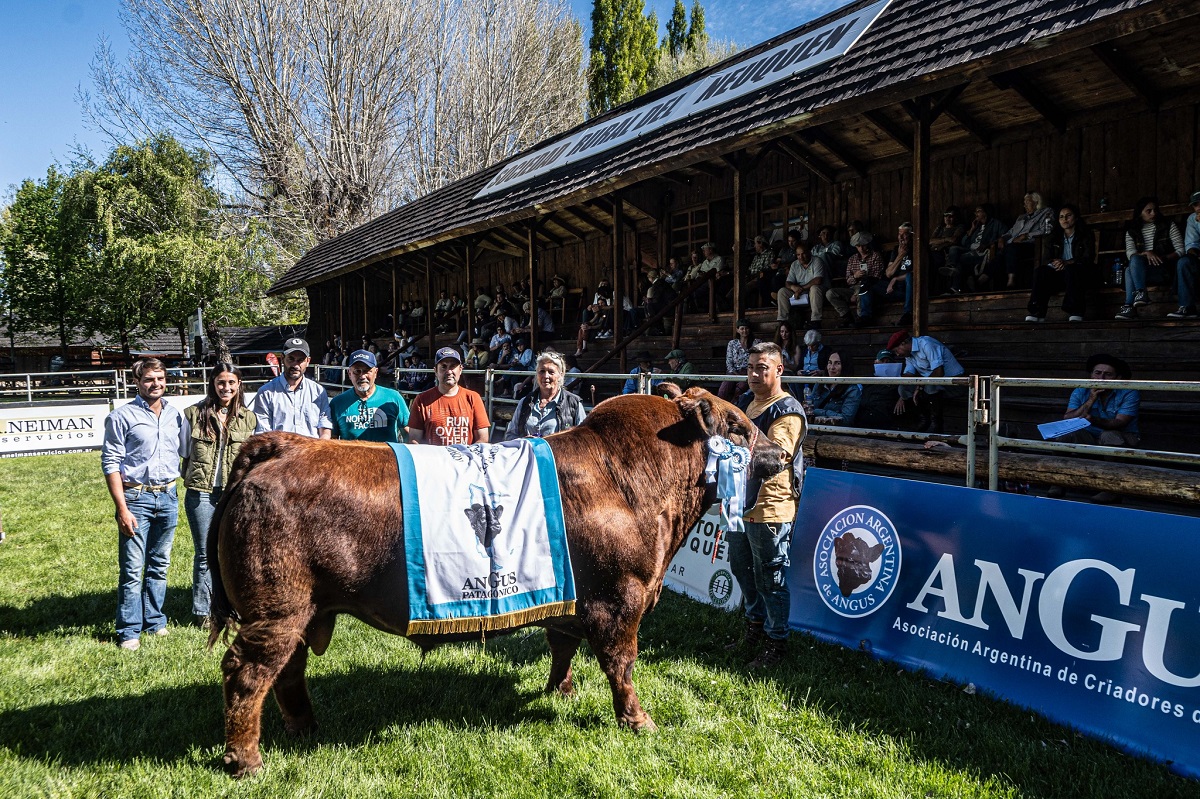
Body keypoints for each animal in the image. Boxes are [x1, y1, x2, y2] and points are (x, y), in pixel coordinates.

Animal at [206, 383, 787, 772]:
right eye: (737, 426)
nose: (782, 453)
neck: (635, 480)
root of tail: (284, 444)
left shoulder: (570, 597)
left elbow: (561, 643)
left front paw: (559, 691)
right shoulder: (622, 598)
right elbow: (621, 664)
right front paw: (637, 719)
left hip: (301, 611)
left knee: (287, 670)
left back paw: (303, 726)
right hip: (278, 610)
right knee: (248, 672)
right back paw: (245, 759)